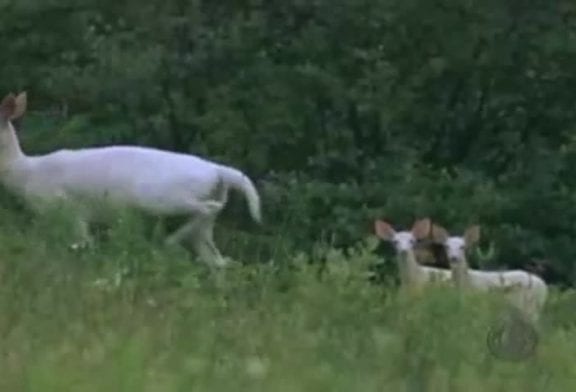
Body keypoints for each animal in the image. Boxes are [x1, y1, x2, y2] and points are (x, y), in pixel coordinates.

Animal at [0, 92, 262, 266]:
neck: (26, 173)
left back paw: (167, 243)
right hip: (203, 215)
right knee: (218, 258)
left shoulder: (67, 209)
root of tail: (218, 172)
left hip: (164, 197)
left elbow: (83, 242)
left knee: (207, 211)